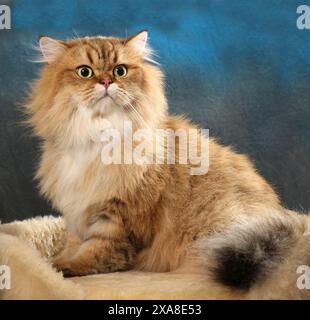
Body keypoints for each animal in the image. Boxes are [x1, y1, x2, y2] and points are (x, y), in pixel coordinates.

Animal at [26, 30, 310, 298]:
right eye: (85, 72)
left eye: (120, 70)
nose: (106, 82)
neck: (99, 136)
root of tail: (282, 215)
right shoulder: (78, 213)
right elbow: (71, 244)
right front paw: (49, 262)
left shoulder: (118, 217)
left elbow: (96, 253)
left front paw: (60, 268)